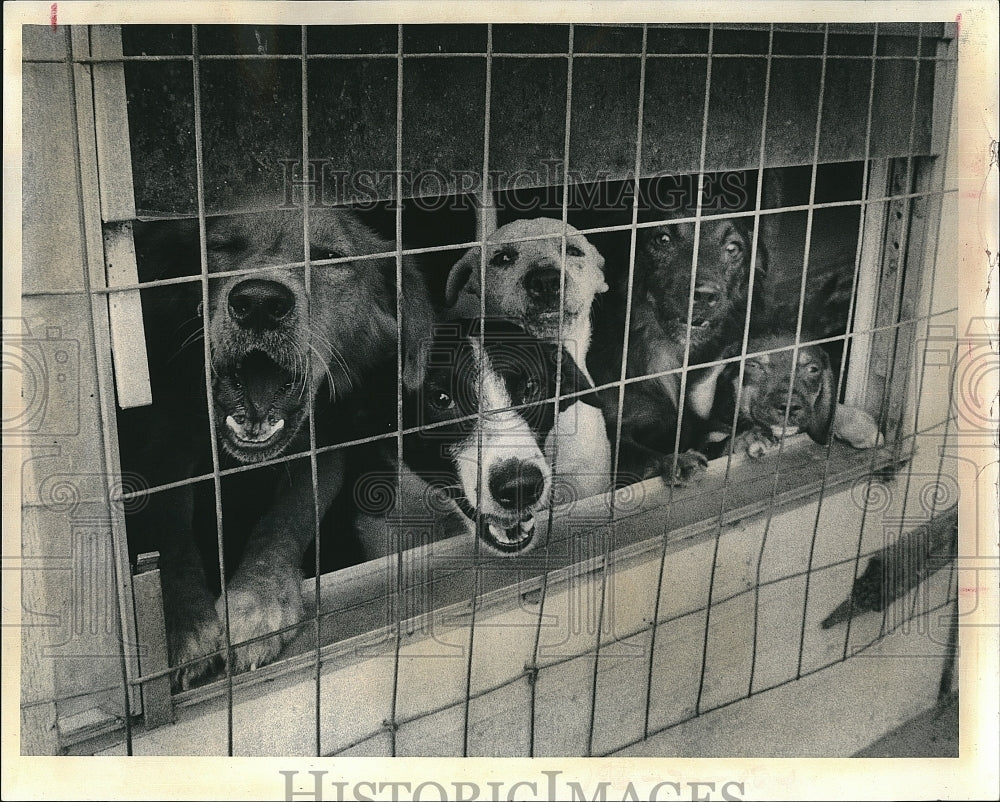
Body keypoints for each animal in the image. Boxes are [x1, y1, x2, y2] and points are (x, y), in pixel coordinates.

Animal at [584, 214, 764, 482]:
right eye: (662, 239)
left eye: (733, 248)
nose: (704, 295)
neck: (666, 353)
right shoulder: (609, 434)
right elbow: (636, 454)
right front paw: (673, 461)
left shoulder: (692, 420)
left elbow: (711, 437)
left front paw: (741, 439)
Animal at [696, 332, 884, 456]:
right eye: (753, 366)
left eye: (813, 369)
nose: (789, 407)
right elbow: (722, 445)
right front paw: (750, 438)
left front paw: (858, 423)